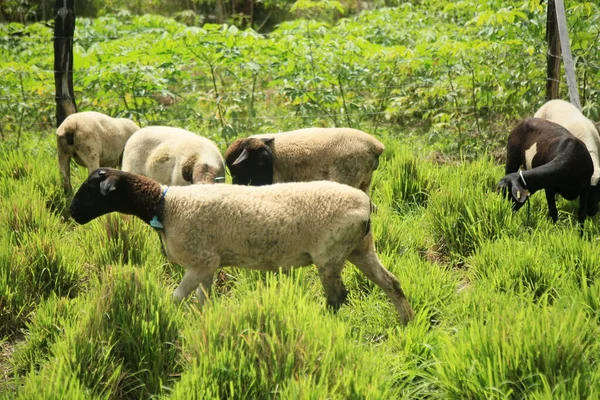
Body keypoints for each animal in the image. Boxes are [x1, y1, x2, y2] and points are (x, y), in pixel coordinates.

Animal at [69, 167, 412, 326]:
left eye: (91, 189)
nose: (72, 213)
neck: (166, 207)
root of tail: (365, 204)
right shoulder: (209, 265)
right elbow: (202, 302)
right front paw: (202, 327)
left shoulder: (200, 262)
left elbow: (176, 299)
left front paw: (163, 317)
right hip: (360, 248)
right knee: (392, 283)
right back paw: (406, 321)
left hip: (330, 254)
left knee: (339, 297)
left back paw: (325, 322)